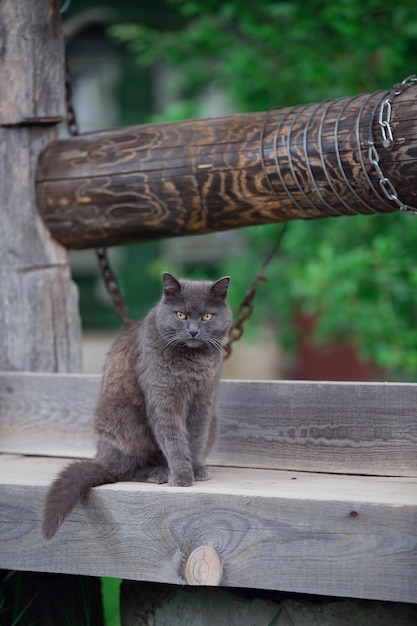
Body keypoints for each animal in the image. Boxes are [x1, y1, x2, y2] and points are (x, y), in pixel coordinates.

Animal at [41, 270, 231, 540]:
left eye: (207, 316)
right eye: (180, 315)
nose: (193, 331)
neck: (192, 359)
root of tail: (100, 458)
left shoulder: (203, 400)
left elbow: (196, 437)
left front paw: (197, 469)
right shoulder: (163, 398)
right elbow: (174, 439)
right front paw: (182, 476)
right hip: (125, 423)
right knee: (121, 471)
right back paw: (158, 473)